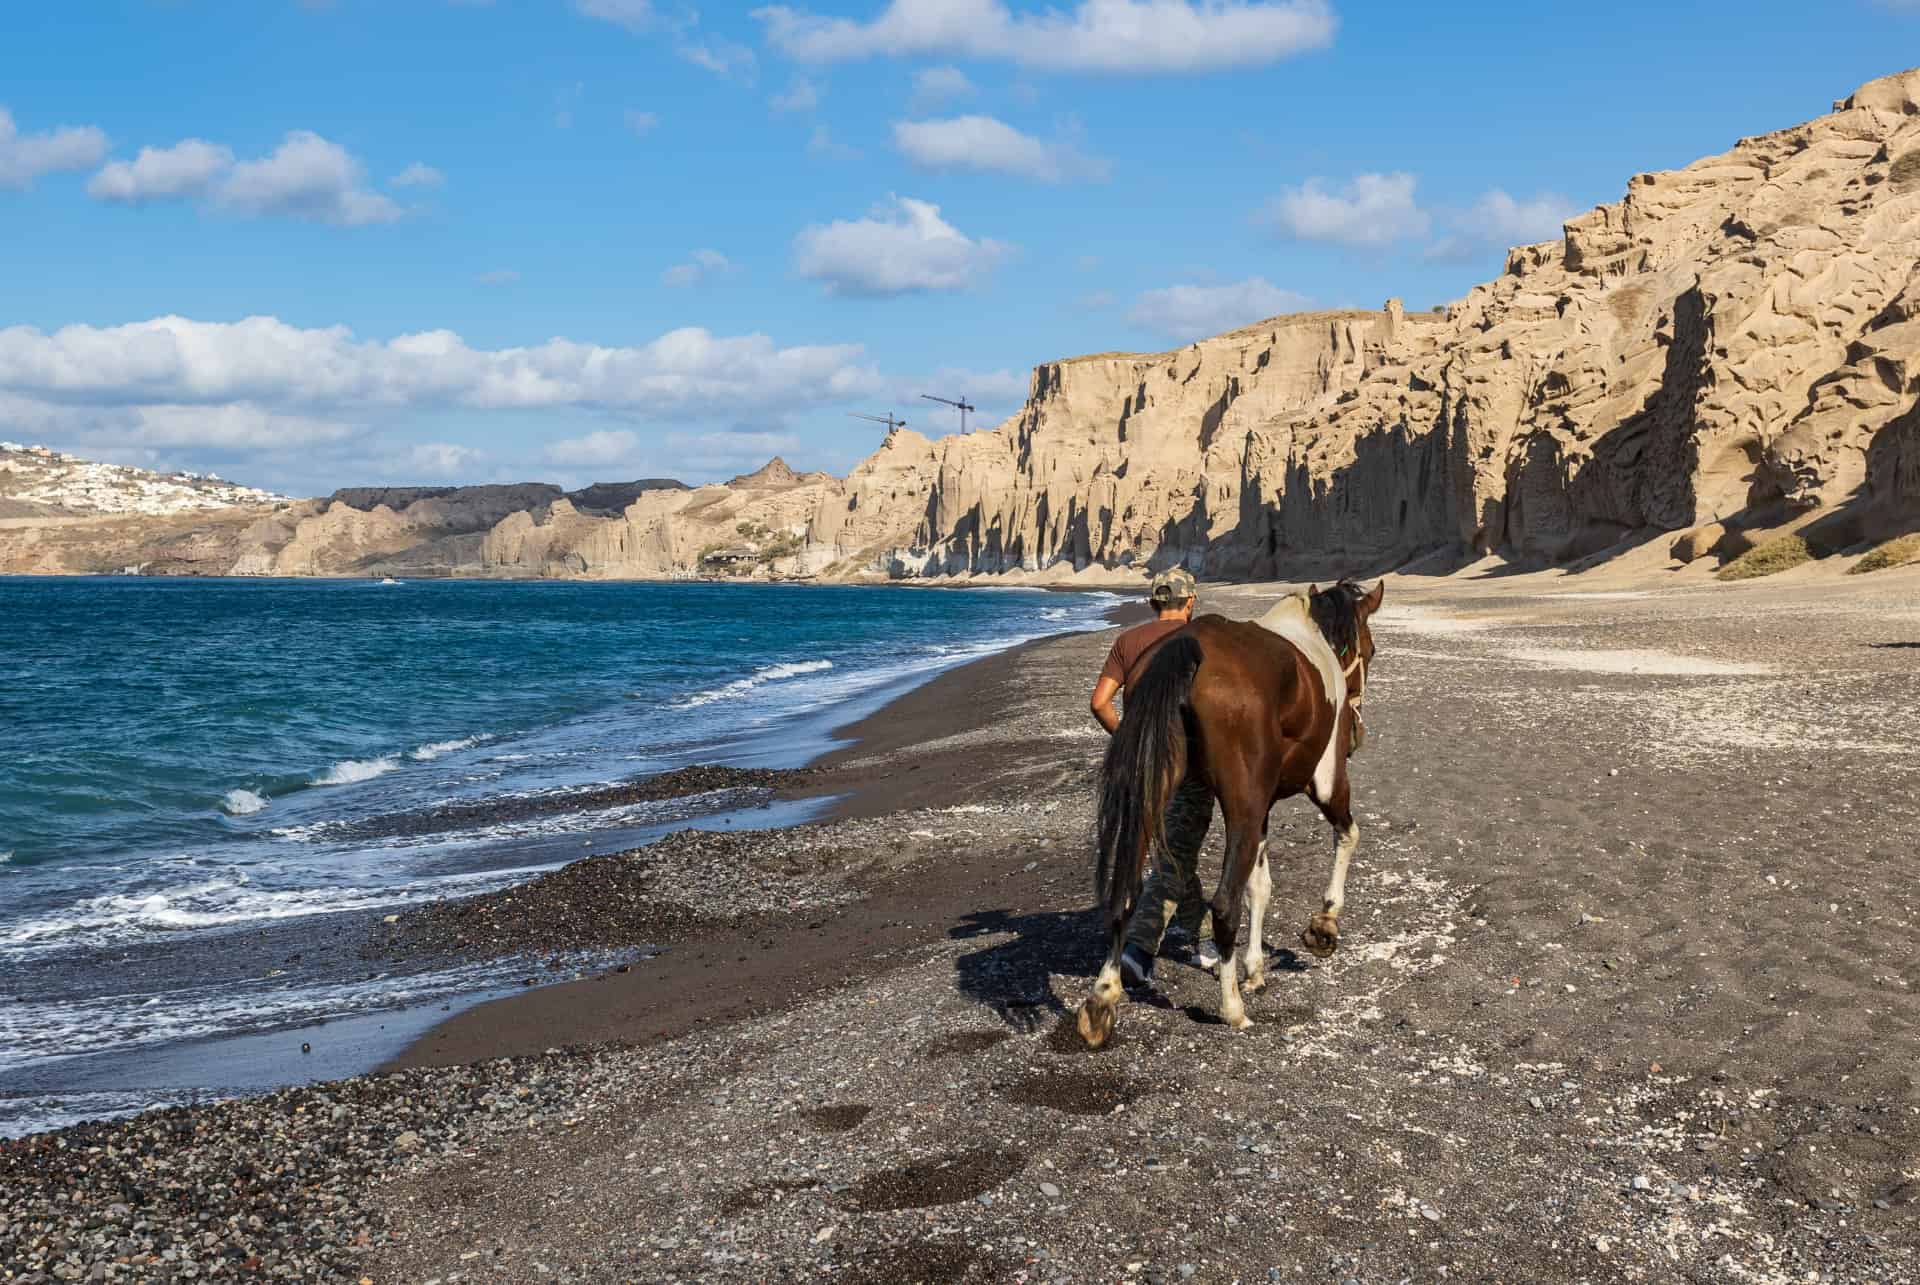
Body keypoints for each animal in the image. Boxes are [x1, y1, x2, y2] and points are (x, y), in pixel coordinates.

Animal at [1082, 576, 1382, 1044]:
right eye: (1370, 650)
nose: (1356, 732)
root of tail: (1187, 647)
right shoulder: (1325, 780)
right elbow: (1348, 835)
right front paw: (1325, 923)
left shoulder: (1262, 810)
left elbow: (1260, 887)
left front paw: (1255, 969)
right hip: (1245, 802)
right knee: (1223, 905)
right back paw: (1232, 1008)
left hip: (1160, 790)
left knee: (1128, 892)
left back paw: (1103, 996)